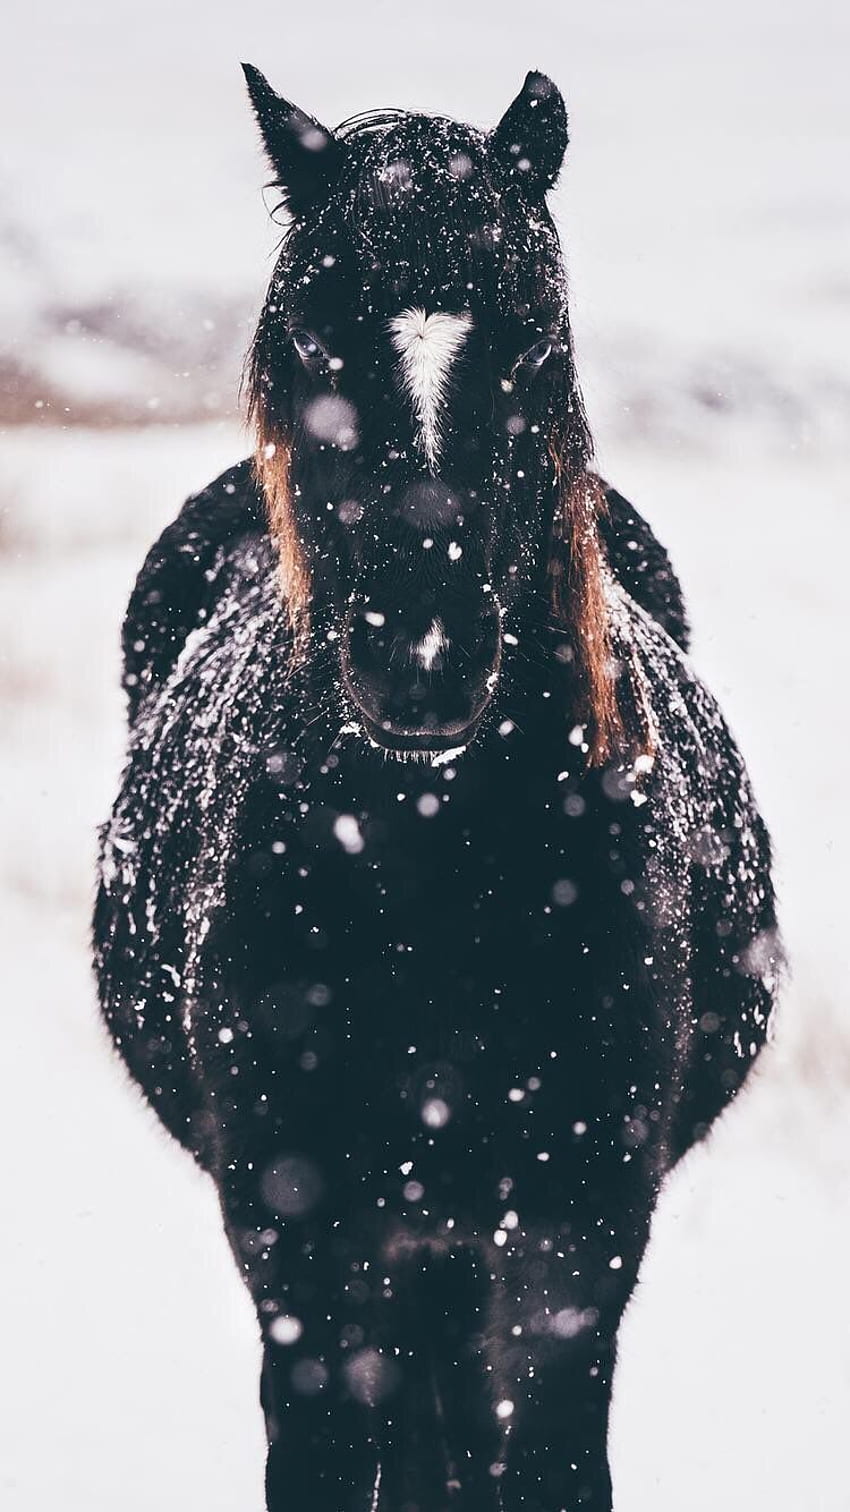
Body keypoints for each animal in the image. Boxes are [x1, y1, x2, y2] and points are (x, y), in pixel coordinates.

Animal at [92, 65, 774, 1505]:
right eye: (309, 341)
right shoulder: (302, 1247)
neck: (441, 869)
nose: (419, 659)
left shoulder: (576, 1241)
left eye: (532, 345)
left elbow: (551, 1463)